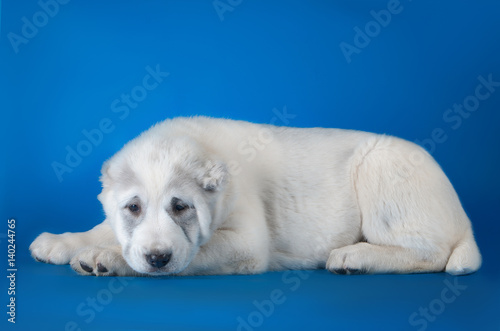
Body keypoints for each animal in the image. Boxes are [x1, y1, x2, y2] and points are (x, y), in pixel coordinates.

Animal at [29, 116, 482, 278]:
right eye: (134, 207)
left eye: (181, 207)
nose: (157, 257)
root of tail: (465, 220)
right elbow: (103, 227)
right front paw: (62, 242)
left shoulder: (245, 243)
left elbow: (197, 254)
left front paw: (107, 258)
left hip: (383, 171)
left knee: (430, 252)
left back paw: (355, 257)